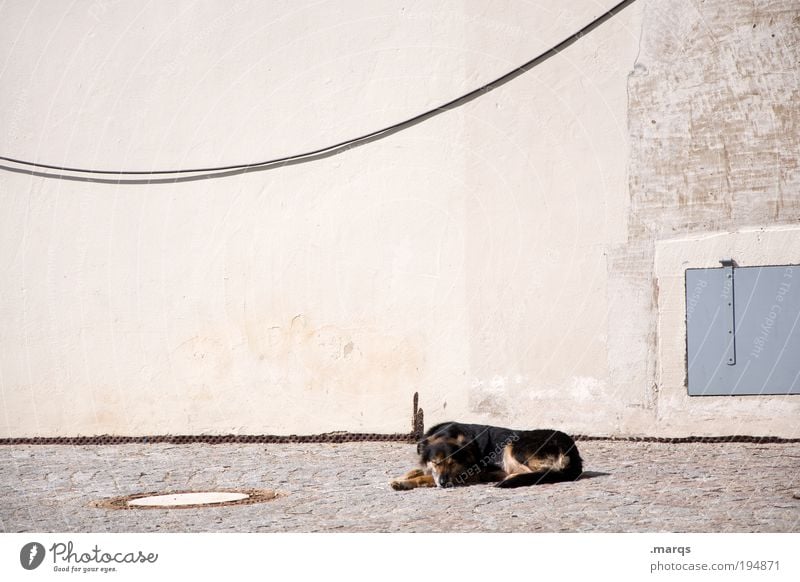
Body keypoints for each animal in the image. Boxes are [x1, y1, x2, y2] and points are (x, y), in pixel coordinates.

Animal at [392, 422, 584, 490]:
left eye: (453, 463)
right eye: (435, 462)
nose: (444, 483)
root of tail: (571, 449)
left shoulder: (465, 475)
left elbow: (424, 477)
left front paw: (405, 483)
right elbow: (416, 471)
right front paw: (398, 478)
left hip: (513, 446)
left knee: (541, 472)